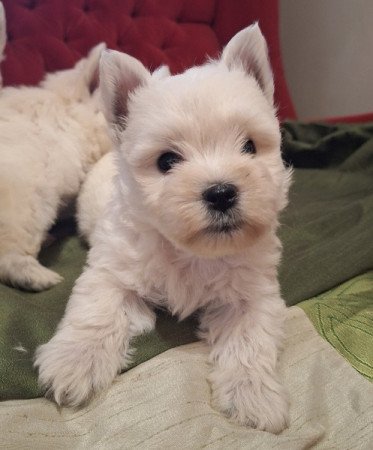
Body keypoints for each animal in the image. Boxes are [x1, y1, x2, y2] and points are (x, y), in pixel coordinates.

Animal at [35, 23, 290, 432]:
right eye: (166, 161)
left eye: (250, 146)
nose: (221, 193)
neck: (191, 251)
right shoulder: (111, 271)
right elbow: (96, 312)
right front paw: (74, 363)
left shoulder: (254, 292)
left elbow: (251, 340)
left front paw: (254, 396)